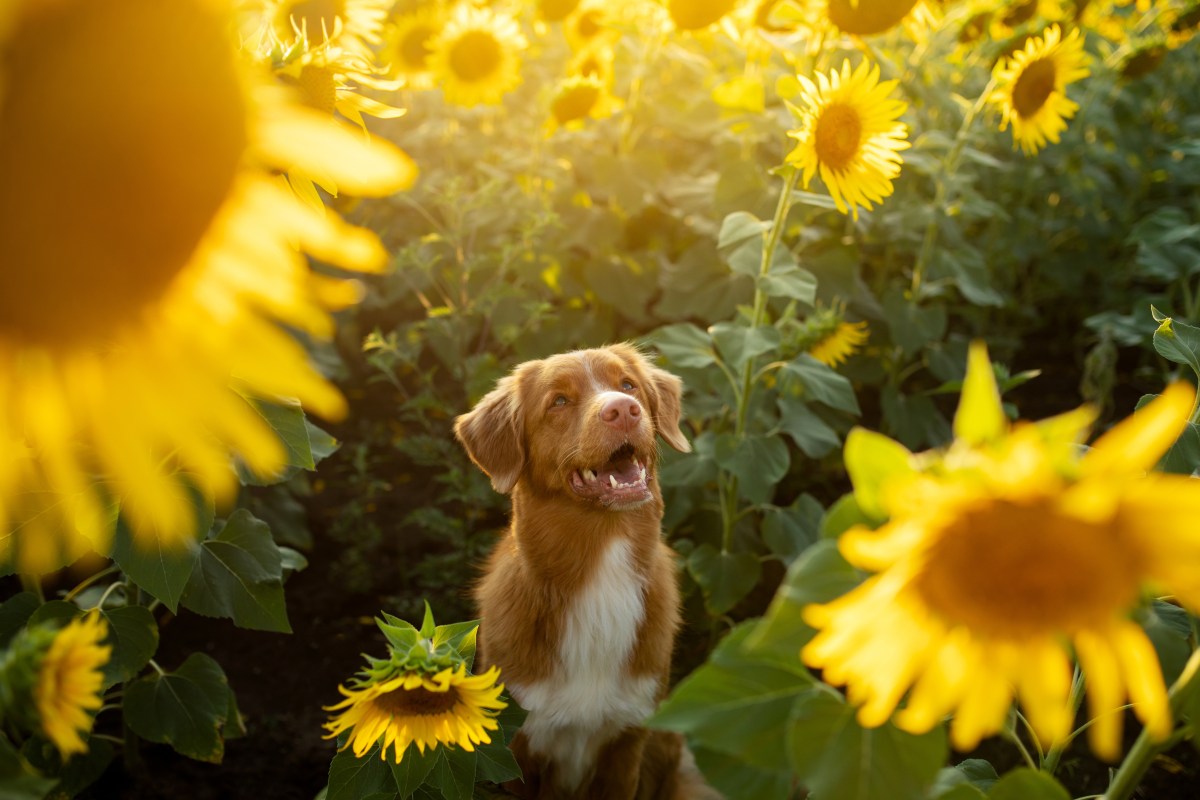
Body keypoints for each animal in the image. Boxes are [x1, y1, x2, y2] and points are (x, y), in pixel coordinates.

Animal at [453, 345, 700, 800]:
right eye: (559, 401)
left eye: (628, 385)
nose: (623, 411)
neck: (600, 568)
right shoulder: (516, 746)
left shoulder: (628, 740)